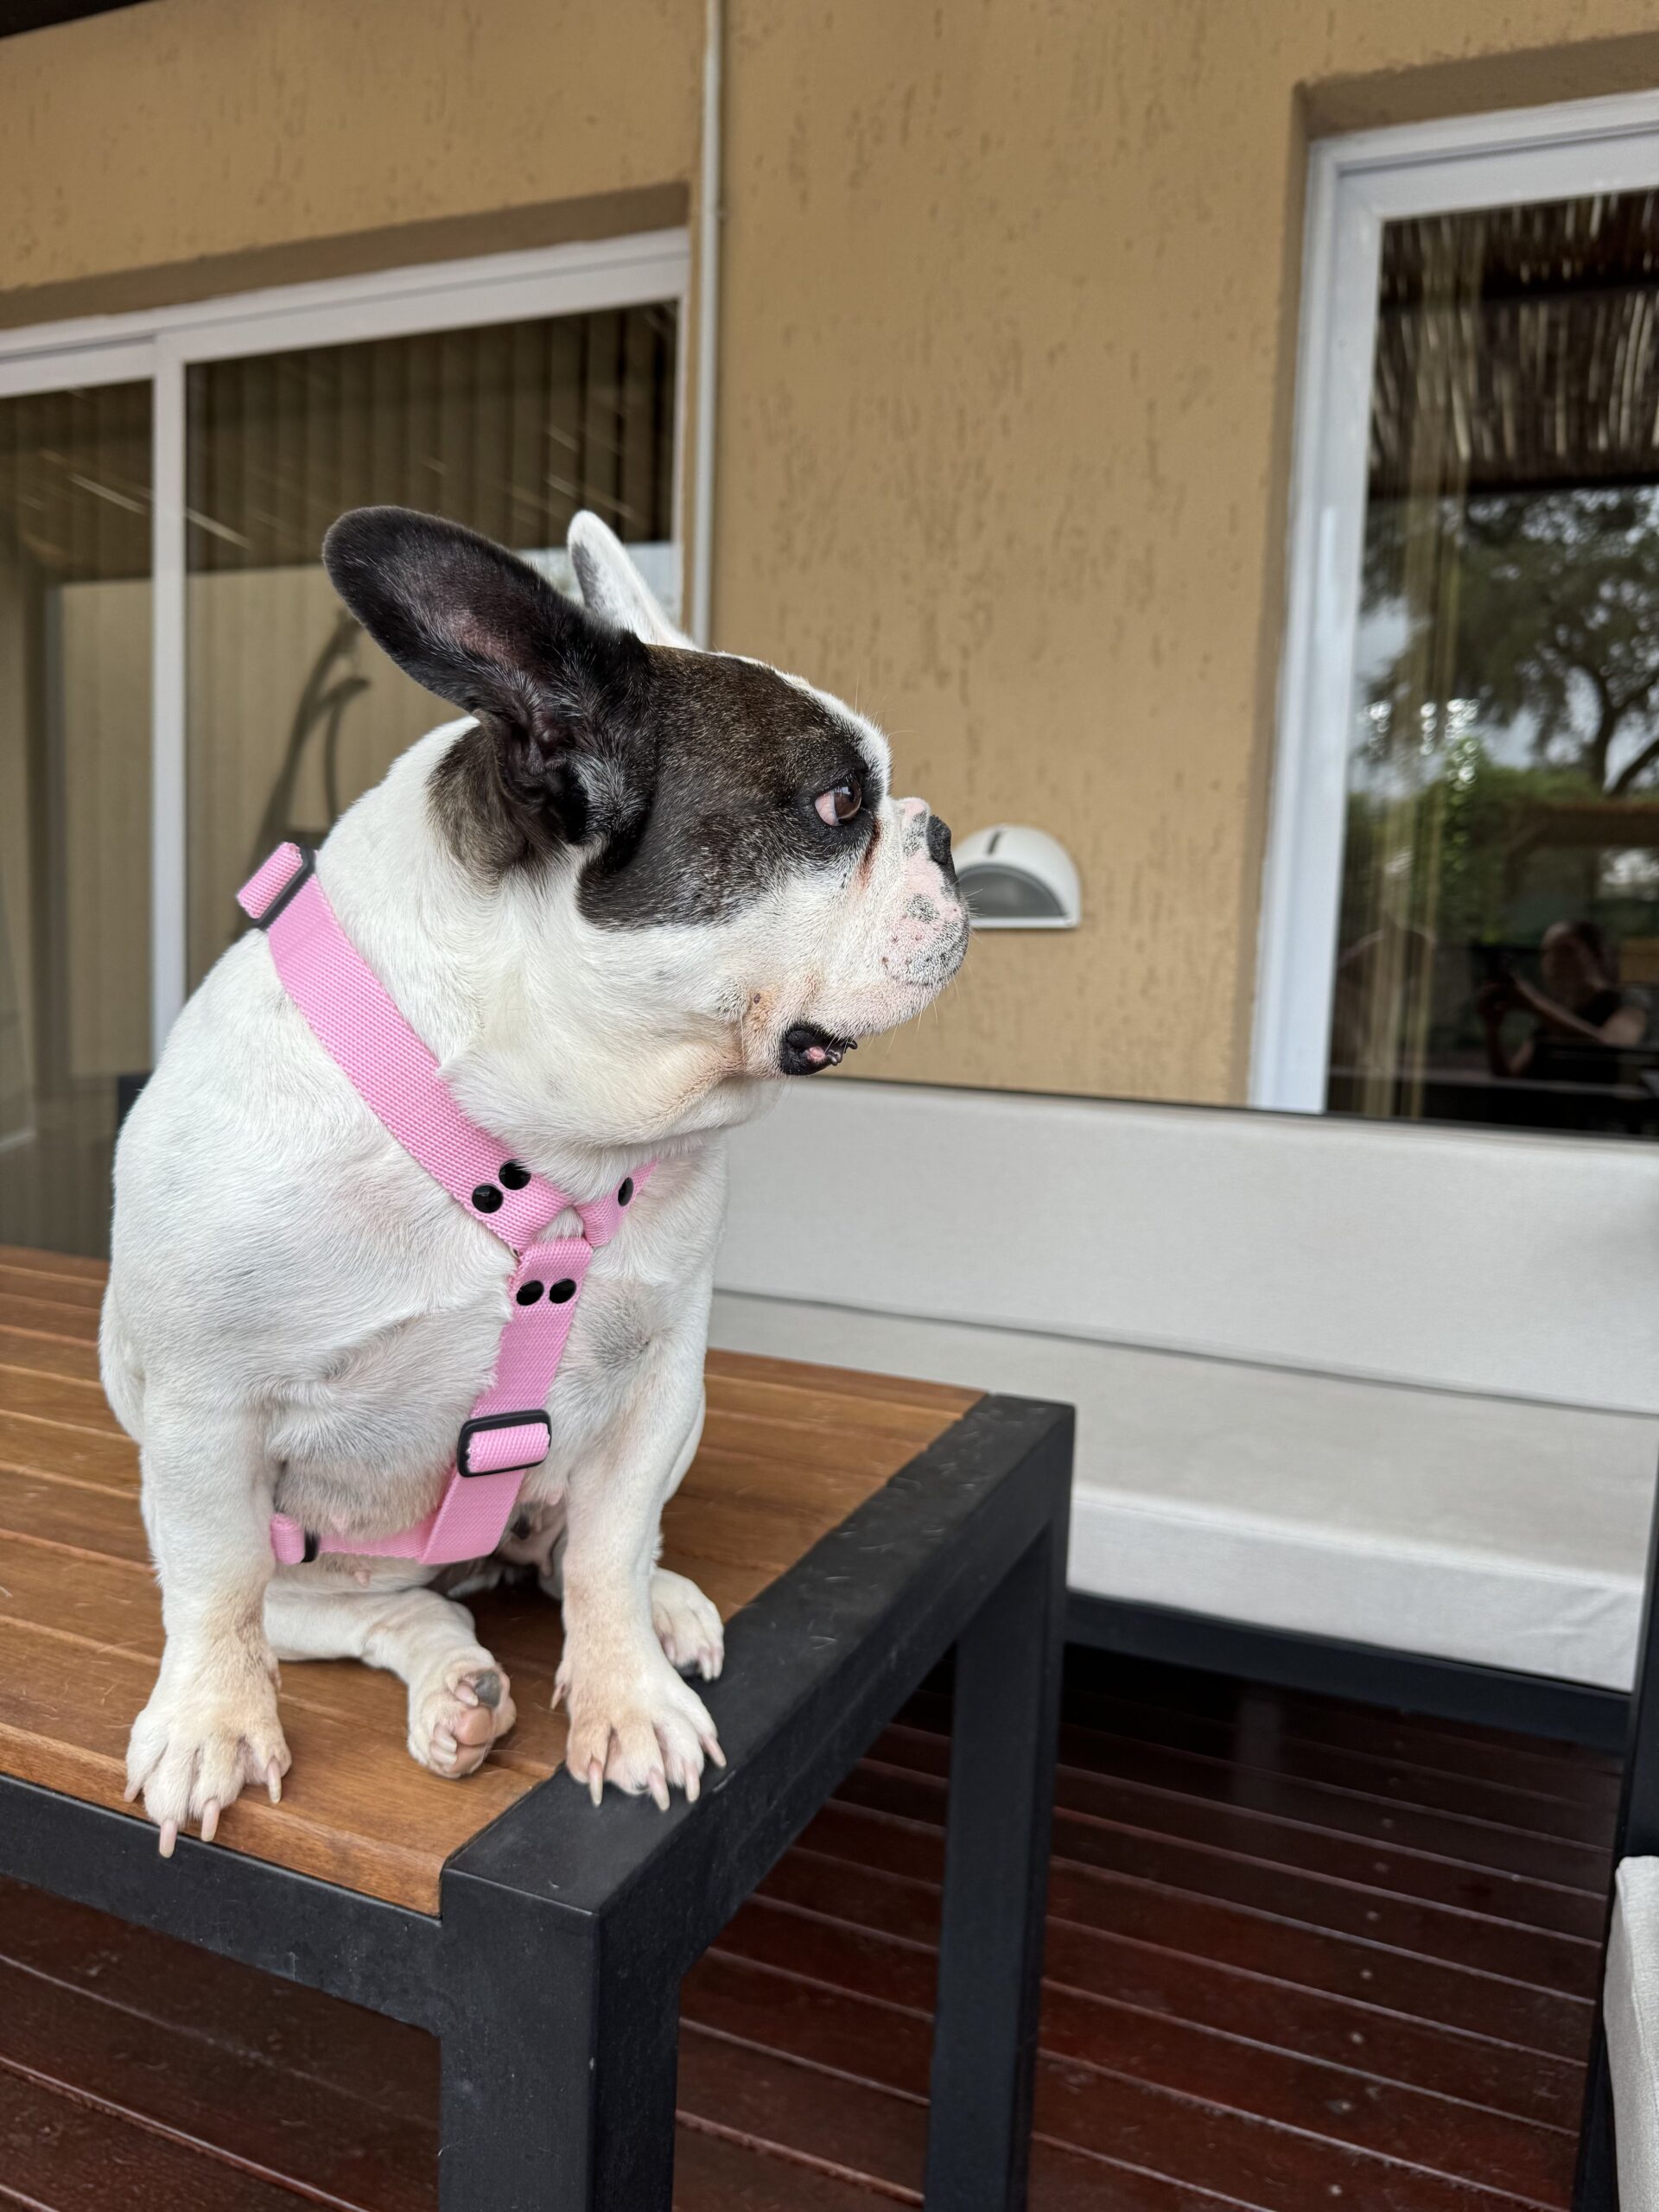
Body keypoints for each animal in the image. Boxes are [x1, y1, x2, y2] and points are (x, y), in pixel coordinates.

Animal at [102, 506, 969, 1852]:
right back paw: (453, 1684)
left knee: (577, 1556)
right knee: (378, 1612)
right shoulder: (204, 1414)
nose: (941, 832)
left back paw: (660, 1607)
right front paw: (210, 1723)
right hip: (314, 1557)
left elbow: (610, 1552)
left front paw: (630, 1698)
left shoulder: (659, 1380)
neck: (534, 1135)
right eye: (838, 807)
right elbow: (215, 1584)